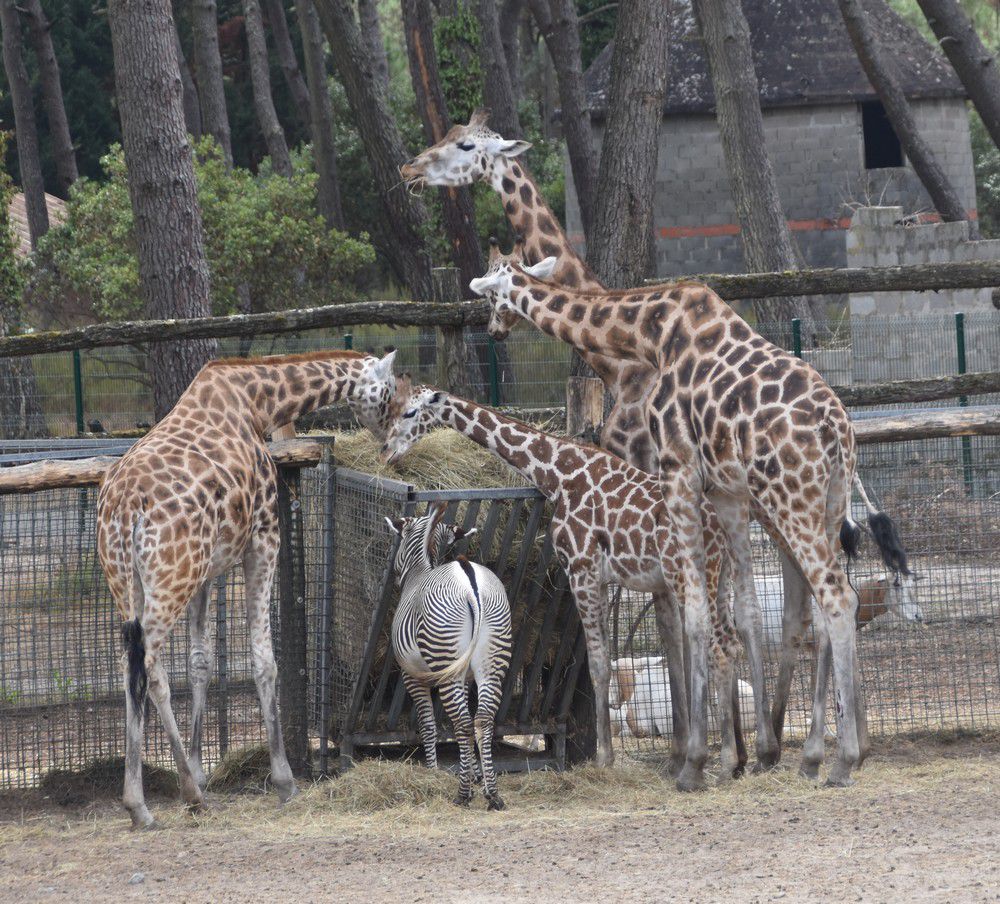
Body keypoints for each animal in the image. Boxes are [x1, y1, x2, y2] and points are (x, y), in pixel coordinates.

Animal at [95, 348, 396, 828]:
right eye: (391, 391)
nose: (389, 445)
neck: (260, 402)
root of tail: (125, 509)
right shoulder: (264, 538)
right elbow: (264, 659)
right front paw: (284, 780)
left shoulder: (209, 568)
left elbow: (201, 661)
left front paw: (200, 769)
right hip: (171, 575)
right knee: (149, 663)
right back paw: (156, 802)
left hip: (130, 579)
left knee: (134, 664)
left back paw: (172, 795)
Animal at [378, 378, 748, 780]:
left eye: (410, 412)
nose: (386, 451)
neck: (558, 474)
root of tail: (718, 527)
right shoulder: (604, 578)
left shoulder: (581, 568)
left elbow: (600, 664)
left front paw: (604, 758)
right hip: (720, 576)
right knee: (730, 643)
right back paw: (732, 760)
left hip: (691, 573)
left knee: (713, 645)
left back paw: (717, 762)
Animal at [384, 502, 516, 812]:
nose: (395, 578)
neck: (420, 571)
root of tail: (469, 579)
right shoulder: (467, 678)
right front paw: (479, 775)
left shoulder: (413, 677)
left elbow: (428, 725)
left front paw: (432, 771)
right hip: (492, 663)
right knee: (482, 720)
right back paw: (493, 794)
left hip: (447, 665)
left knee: (464, 723)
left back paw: (463, 794)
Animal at [468, 251, 916, 788]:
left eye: (491, 295)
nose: (493, 329)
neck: (647, 335)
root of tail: (839, 431)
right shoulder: (724, 492)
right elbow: (740, 614)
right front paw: (749, 751)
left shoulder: (676, 468)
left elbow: (694, 616)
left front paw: (697, 760)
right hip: (823, 504)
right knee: (820, 605)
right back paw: (822, 751)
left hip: (790, 502)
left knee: (834, 599)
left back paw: (840, 758)